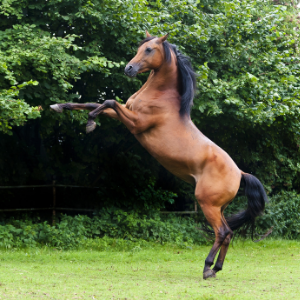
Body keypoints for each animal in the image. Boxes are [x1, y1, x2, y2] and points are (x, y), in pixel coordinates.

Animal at [50, 30, 268, 278]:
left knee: (221, 232)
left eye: (149, 49)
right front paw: (59, 106)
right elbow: (92, 103)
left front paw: (90, 123)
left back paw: (206, 268)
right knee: (229, 233)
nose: (129, 68)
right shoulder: (125, 113)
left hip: (207, 204)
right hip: (218, 207)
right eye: (139, 48)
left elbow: (108, 101)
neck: (160, 97)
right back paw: (217, 268)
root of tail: (240, 173)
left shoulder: (135, 124)